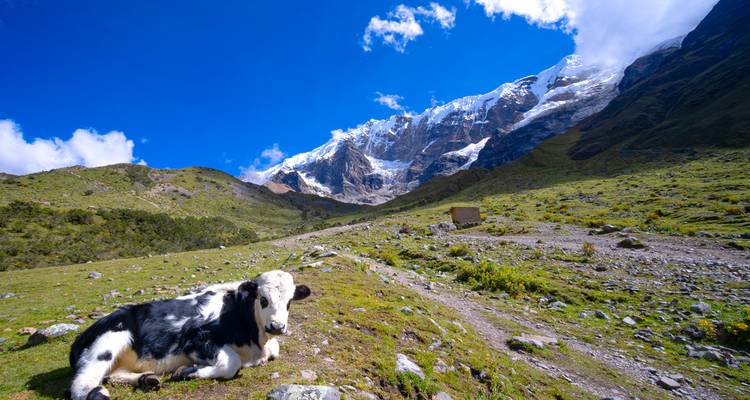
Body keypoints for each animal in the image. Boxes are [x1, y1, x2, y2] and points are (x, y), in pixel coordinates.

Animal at [66, 270, 311, 400]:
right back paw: (99, 393)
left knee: (113, 374)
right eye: (263, 299)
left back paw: (148, 379)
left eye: (290, 301)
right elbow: (231, 363)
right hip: (108, 342)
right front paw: (185, 371)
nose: (277, 326)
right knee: (82, 385)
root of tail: (82, 336)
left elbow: (275, 350)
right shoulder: (196, 338)